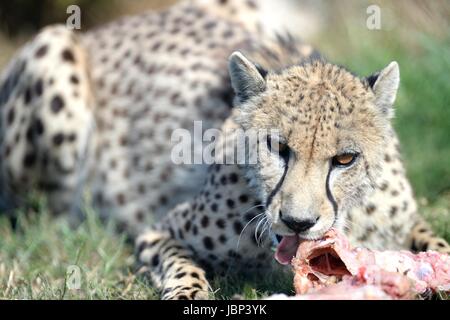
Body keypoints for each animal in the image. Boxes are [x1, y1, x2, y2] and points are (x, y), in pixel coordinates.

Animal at [0, 0, 450, 300]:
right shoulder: (160, 228)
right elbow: (181, 264)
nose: (297, 222)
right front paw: (189, 292)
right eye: (277, 146)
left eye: (345, 159)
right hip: (54, 54)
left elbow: (436, 241)